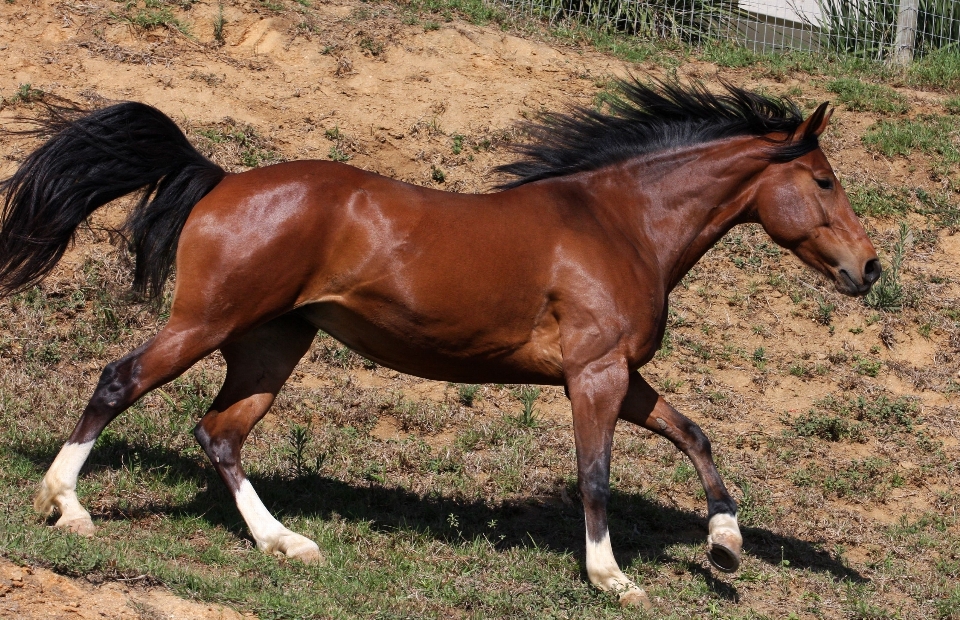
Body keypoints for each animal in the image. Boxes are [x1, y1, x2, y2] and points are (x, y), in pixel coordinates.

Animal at [0, 80, 880, 608]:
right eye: (825, 182)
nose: (869, 268)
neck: (620, 223)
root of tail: (221, 179)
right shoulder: (594, 377)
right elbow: (596, 476)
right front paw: (611, 577)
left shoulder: (618, 374)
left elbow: (695, 435)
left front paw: (726, 546)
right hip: (208, 323)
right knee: (120, 381)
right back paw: (64, 505)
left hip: (271, 344)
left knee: (219, 433)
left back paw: (286, 542)